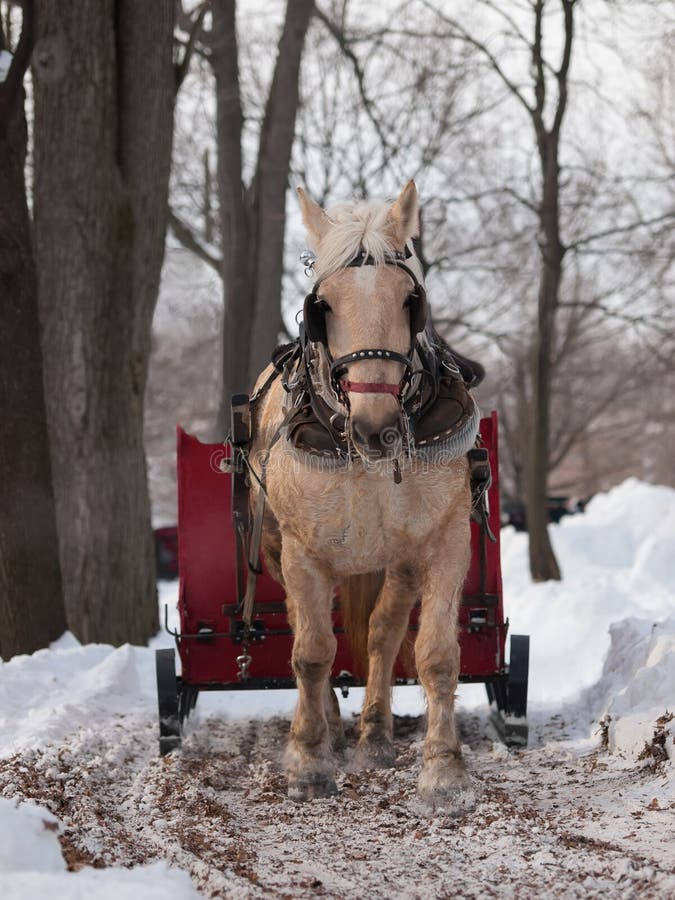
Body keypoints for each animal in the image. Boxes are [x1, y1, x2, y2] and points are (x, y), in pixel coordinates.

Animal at [248, 181, 480, 812]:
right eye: (322, 306)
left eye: (409, 301)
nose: (378, 430)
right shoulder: (303, 552)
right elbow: (311, 653)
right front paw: (308, 762)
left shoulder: (445, 541)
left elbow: (436, 655)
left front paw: (443, 770)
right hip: (276, 552)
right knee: (308, 636)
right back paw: (325, 723)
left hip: (397, 560)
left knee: (382, 631)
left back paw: (374, 735)